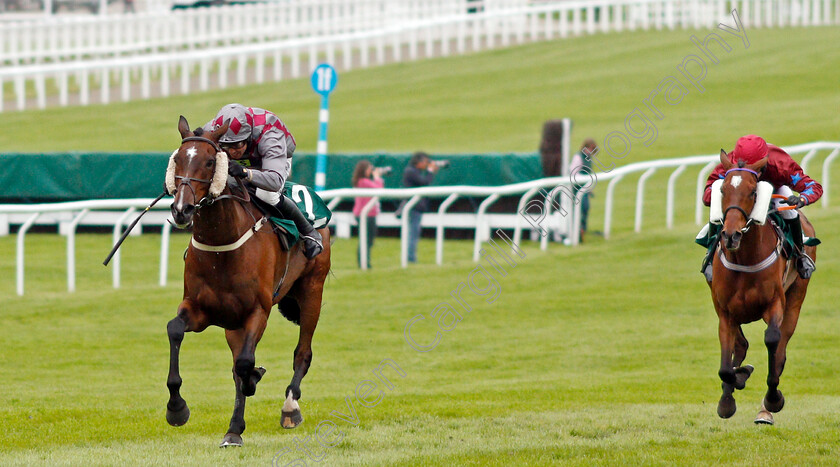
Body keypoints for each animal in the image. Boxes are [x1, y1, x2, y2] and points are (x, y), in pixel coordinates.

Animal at [162, 116, 330, 446]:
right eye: (179, 158)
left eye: (210, 161)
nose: (181, 209)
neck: (221, 247)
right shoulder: (200, 310)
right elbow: (175, 330)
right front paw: (177, 408)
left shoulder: (257, 311)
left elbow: (244, 365)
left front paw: (253, 382)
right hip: (232, 324)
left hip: (312, 290)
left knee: (302, 353)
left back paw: (290, 407)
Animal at [704, 149, 816, 424]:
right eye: (722, 189)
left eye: (754, 192)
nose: (730, 235)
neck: (745, 258)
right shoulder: (724, 311)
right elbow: (726, 366)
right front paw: (729, 396)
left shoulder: (775, 303)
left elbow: (773, 341)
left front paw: (773, 399)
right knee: (741, 346)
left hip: (796, 298)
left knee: (781, 349)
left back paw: (766, 409)